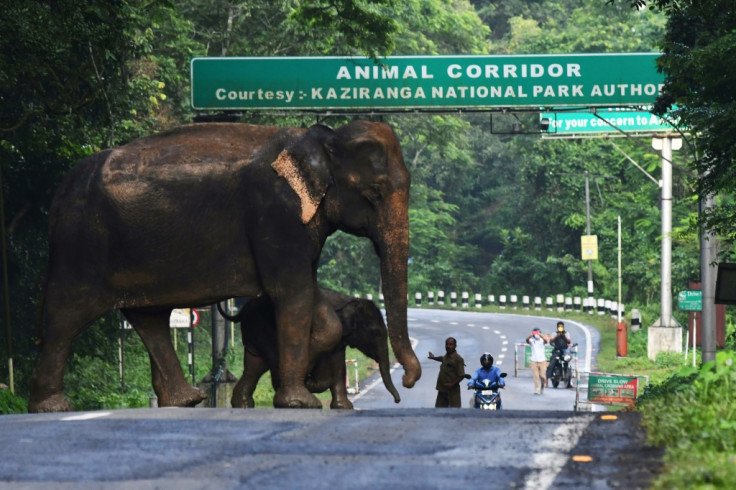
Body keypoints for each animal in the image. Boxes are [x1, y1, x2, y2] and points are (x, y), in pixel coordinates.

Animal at [227, 288, 400, 410]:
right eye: (375, 333)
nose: (397, 400)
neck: (348, 299)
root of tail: (243, 310)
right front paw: (310, 384)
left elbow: (338, 366)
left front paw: (344, 407)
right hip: (264, 329)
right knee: (271, 361)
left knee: (254, 366)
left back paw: (244, 405)